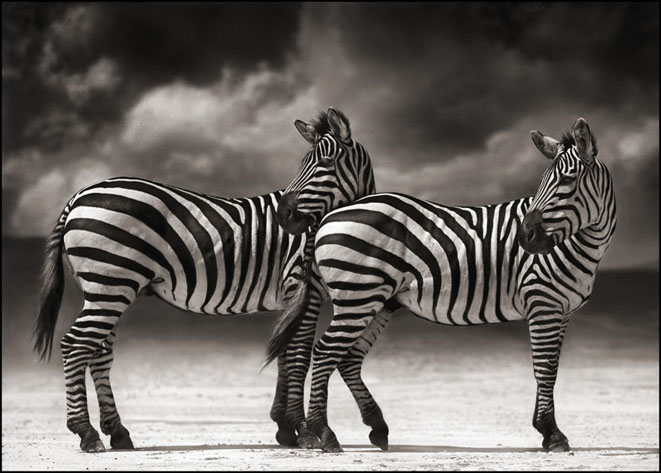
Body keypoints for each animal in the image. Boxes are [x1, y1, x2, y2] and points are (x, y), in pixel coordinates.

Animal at [33, 107, 375, 452]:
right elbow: (298, 357)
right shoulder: (304, 289)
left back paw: (117, 432)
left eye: (325, 163)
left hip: (103, 288)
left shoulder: (290, 298)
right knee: (75, 345)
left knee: (99, 352)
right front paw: (304, 431)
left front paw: (285, 428)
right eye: (306, 163)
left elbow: (283, 355)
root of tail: (78, 196)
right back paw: (86, 432)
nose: (285, 216)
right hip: (111, 284)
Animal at [267, 117, 616, 453]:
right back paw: (325, 434)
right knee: (325, 351)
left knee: (348, 357)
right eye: (544, 182)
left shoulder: (562, 311)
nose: (525, 237)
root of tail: (332, 214)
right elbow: (545, 369)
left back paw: (375, 429)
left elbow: (550, 368)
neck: (578, 244)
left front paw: (544, 430)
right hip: (358, 296)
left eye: (567, 181)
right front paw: (552, 434)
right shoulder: (543, 303)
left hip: (376, 300)